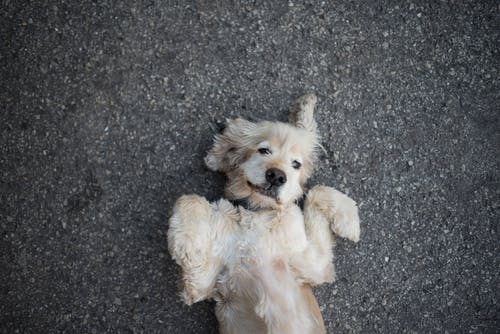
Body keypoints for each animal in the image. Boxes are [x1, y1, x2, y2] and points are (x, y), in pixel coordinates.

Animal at [168, 94, 360, 334]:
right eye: (263, 150)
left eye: (296, 164)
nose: (276, 176)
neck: (257, 214)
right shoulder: (202, 283)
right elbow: (189, 198)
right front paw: (187, 242)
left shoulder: (314, 264)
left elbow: (317, 191)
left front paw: (350, 222)